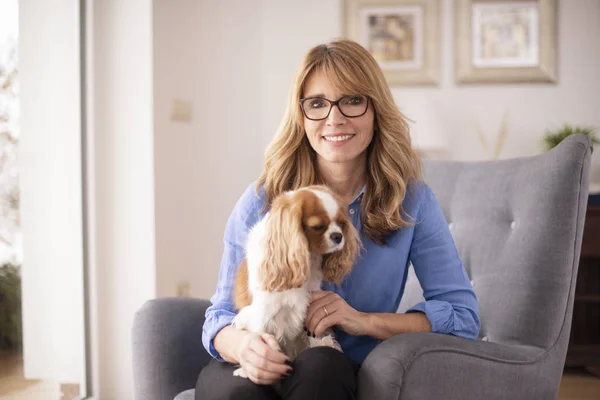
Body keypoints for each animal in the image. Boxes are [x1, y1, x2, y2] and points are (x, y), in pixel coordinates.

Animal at [231, 184, 360, 378]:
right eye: (317, 226)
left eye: (341, 224)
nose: (338, 236)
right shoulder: (262, 312)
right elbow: (260, 334)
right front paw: (249, 369)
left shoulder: (310, 305)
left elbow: (312, 330)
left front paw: (322, 343)